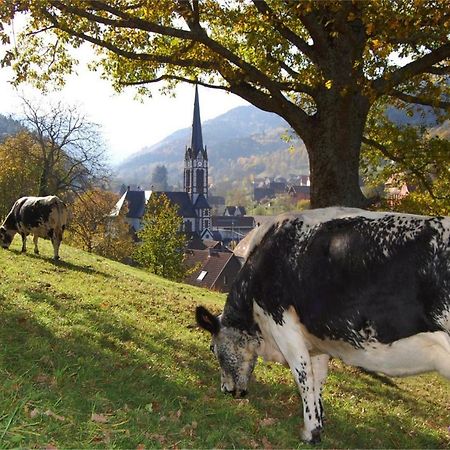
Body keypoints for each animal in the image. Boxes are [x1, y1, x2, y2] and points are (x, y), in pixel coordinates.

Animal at [197, 207, 450, 442]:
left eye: (212, 348)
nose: (226, 390)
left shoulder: (283, 324)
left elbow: (303, 377)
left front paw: (310, 432)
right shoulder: (316, 342)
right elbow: (318, 378)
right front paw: (318, 423)